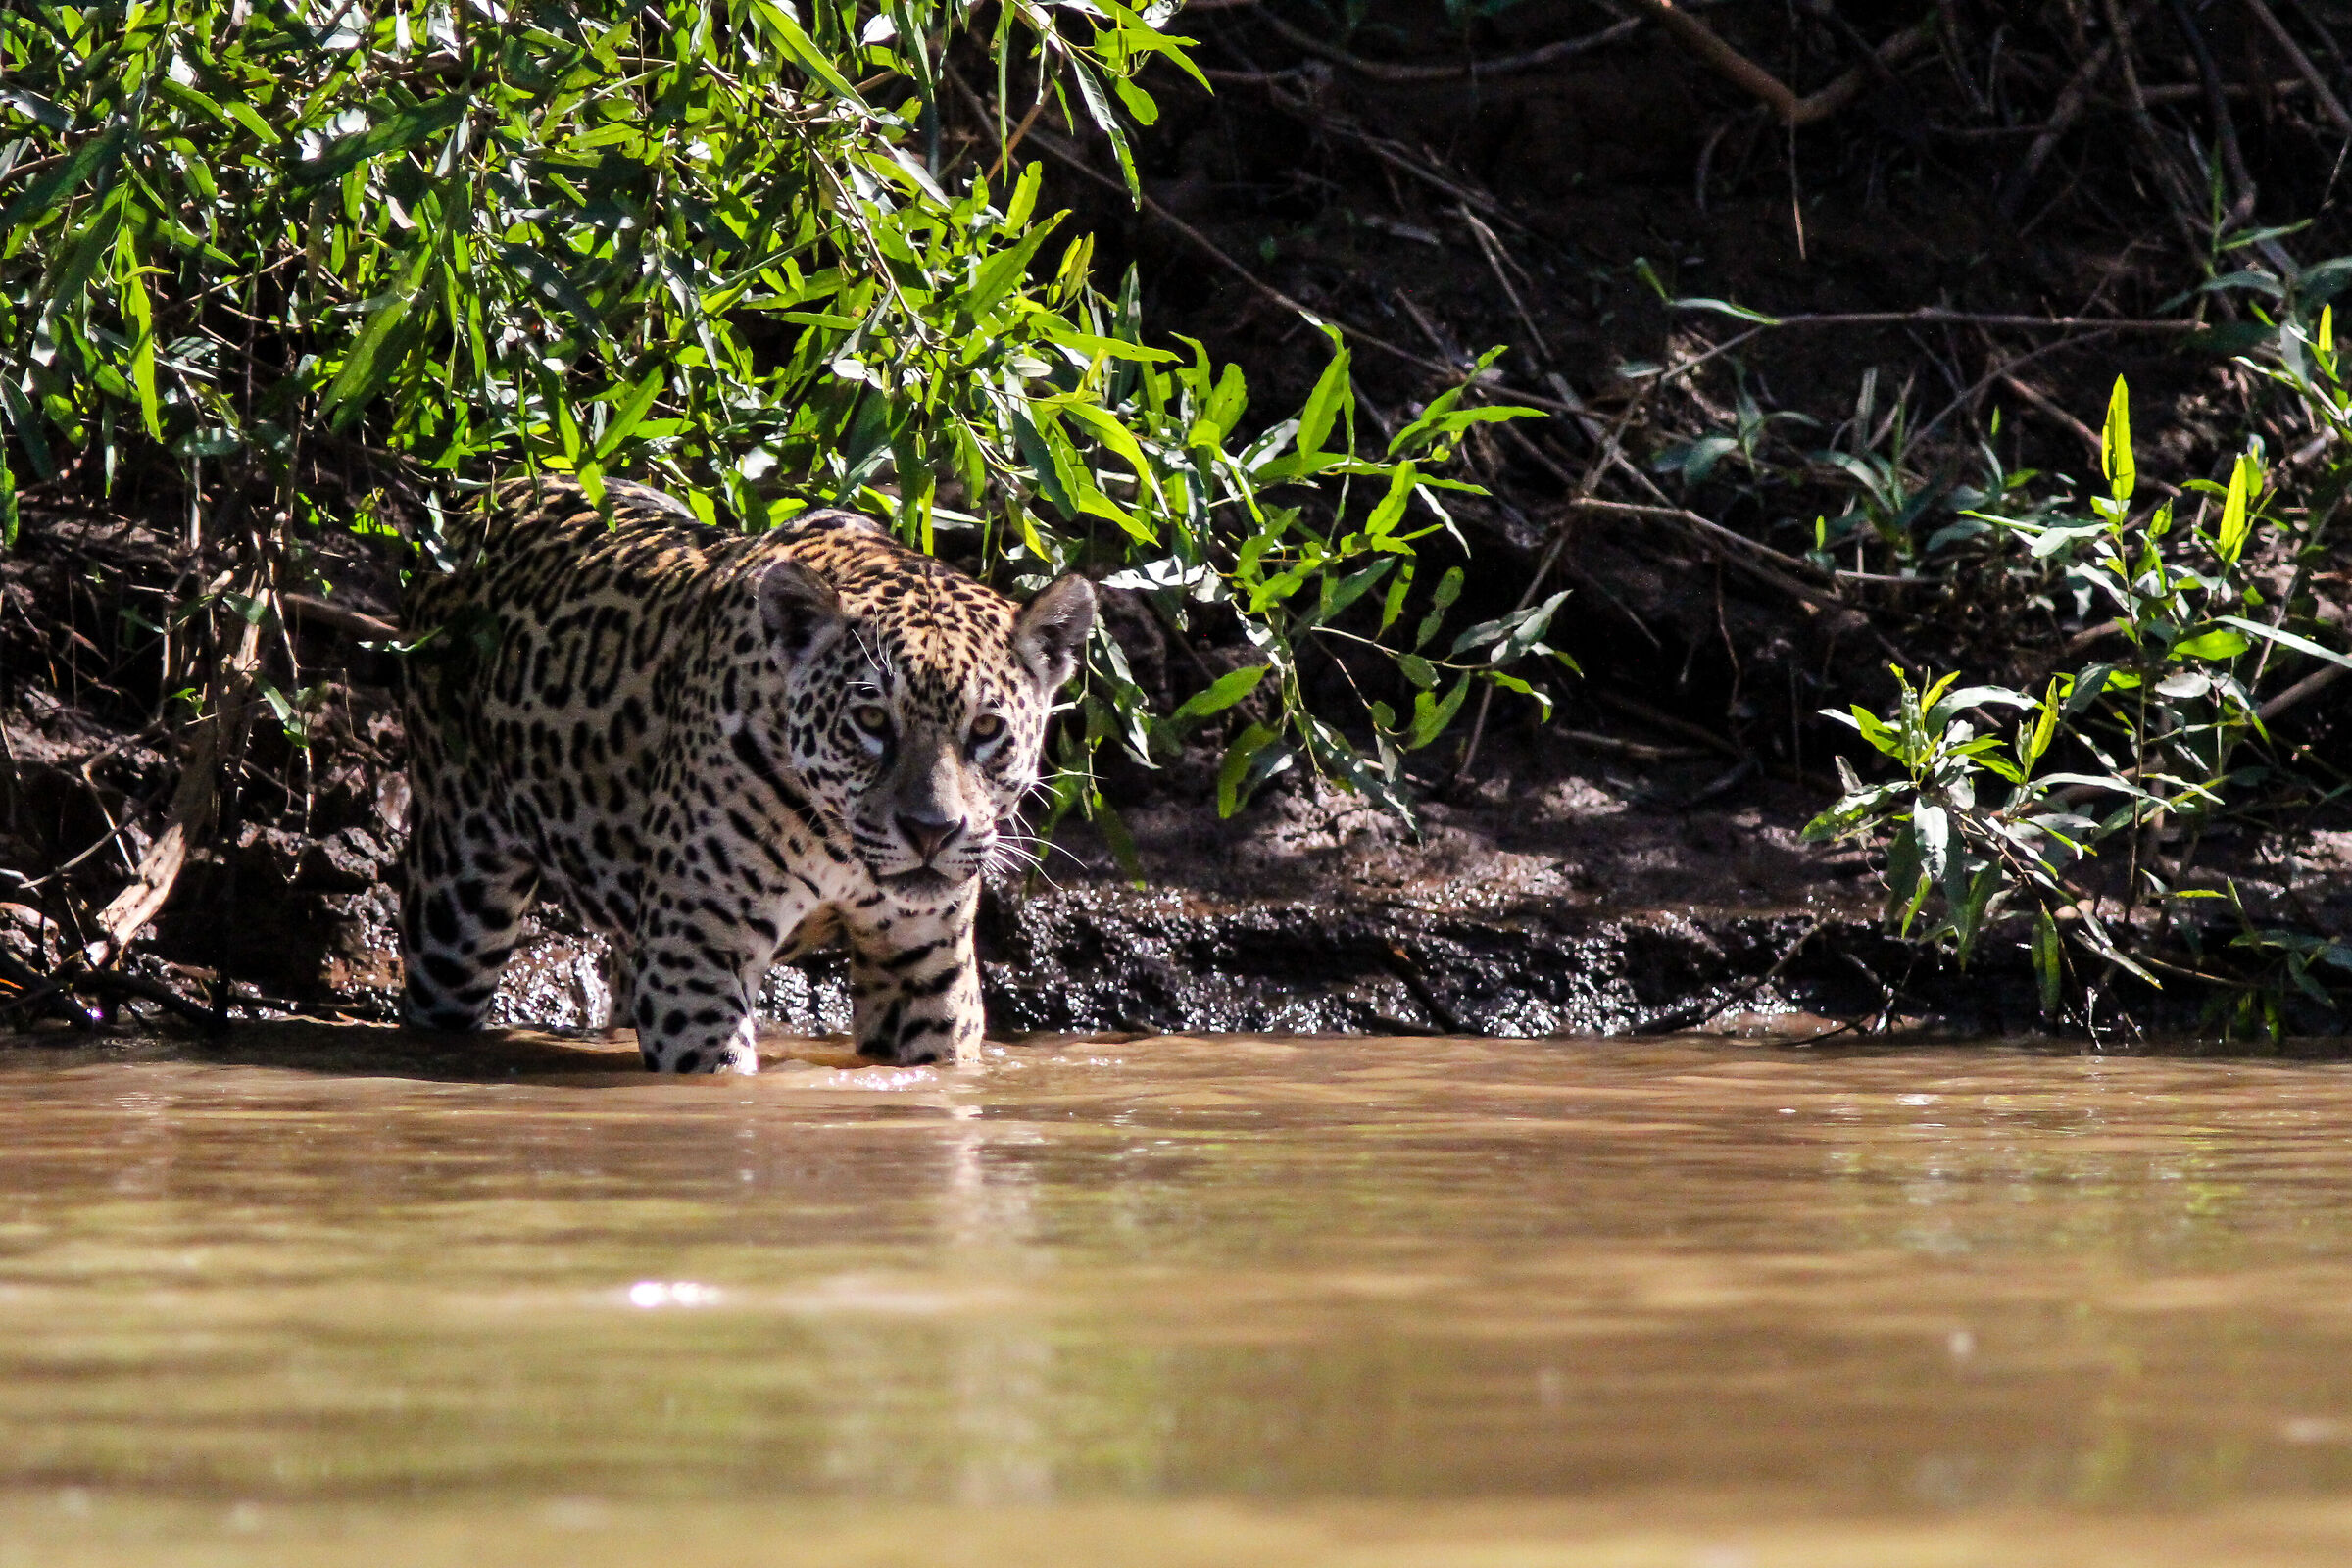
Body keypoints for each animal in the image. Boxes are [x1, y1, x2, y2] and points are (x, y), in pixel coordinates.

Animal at [396, 475, 1096, 1073]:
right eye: (871, 719)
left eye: (985, 730)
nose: (931, 832)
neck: (837, 847)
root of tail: (480, 499)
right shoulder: (696, 959)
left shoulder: (925, 971)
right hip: (456, 907)